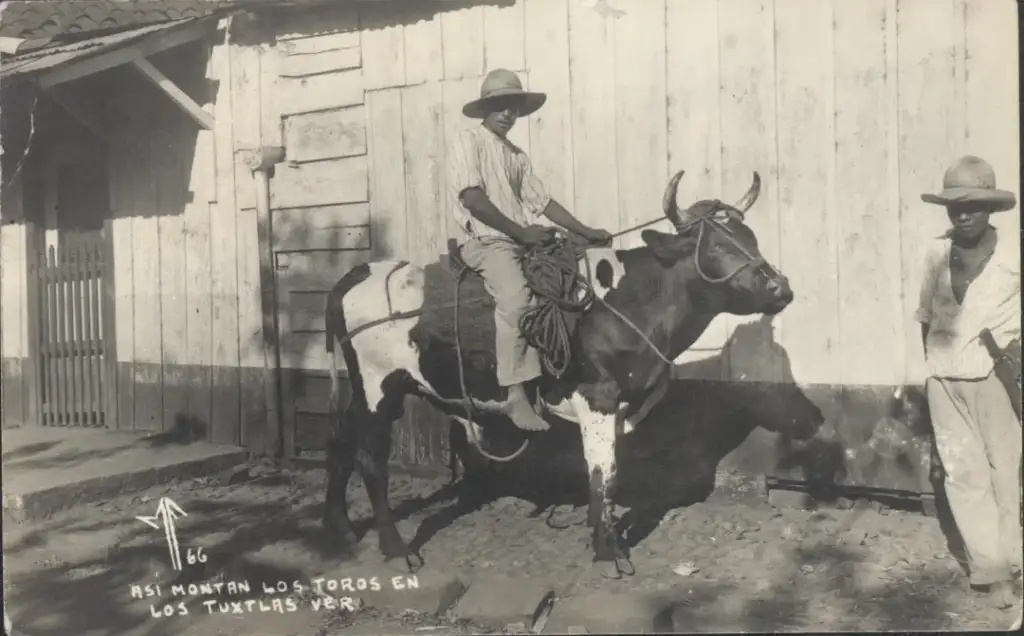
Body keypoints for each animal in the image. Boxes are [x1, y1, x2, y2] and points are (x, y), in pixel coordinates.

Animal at [323, 168, 794, 573]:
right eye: (716, 247)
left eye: (750, 238)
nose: (780, 288)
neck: (627, 303)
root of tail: (360, 271)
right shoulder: (598, 398)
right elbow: (604, 473)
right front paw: (608, 553)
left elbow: (605, 474)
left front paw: (601, 534)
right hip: (377, 387)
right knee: (370, 459)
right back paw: (395, 549)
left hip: (369, 390)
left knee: (340, 439)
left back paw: (340, 529)